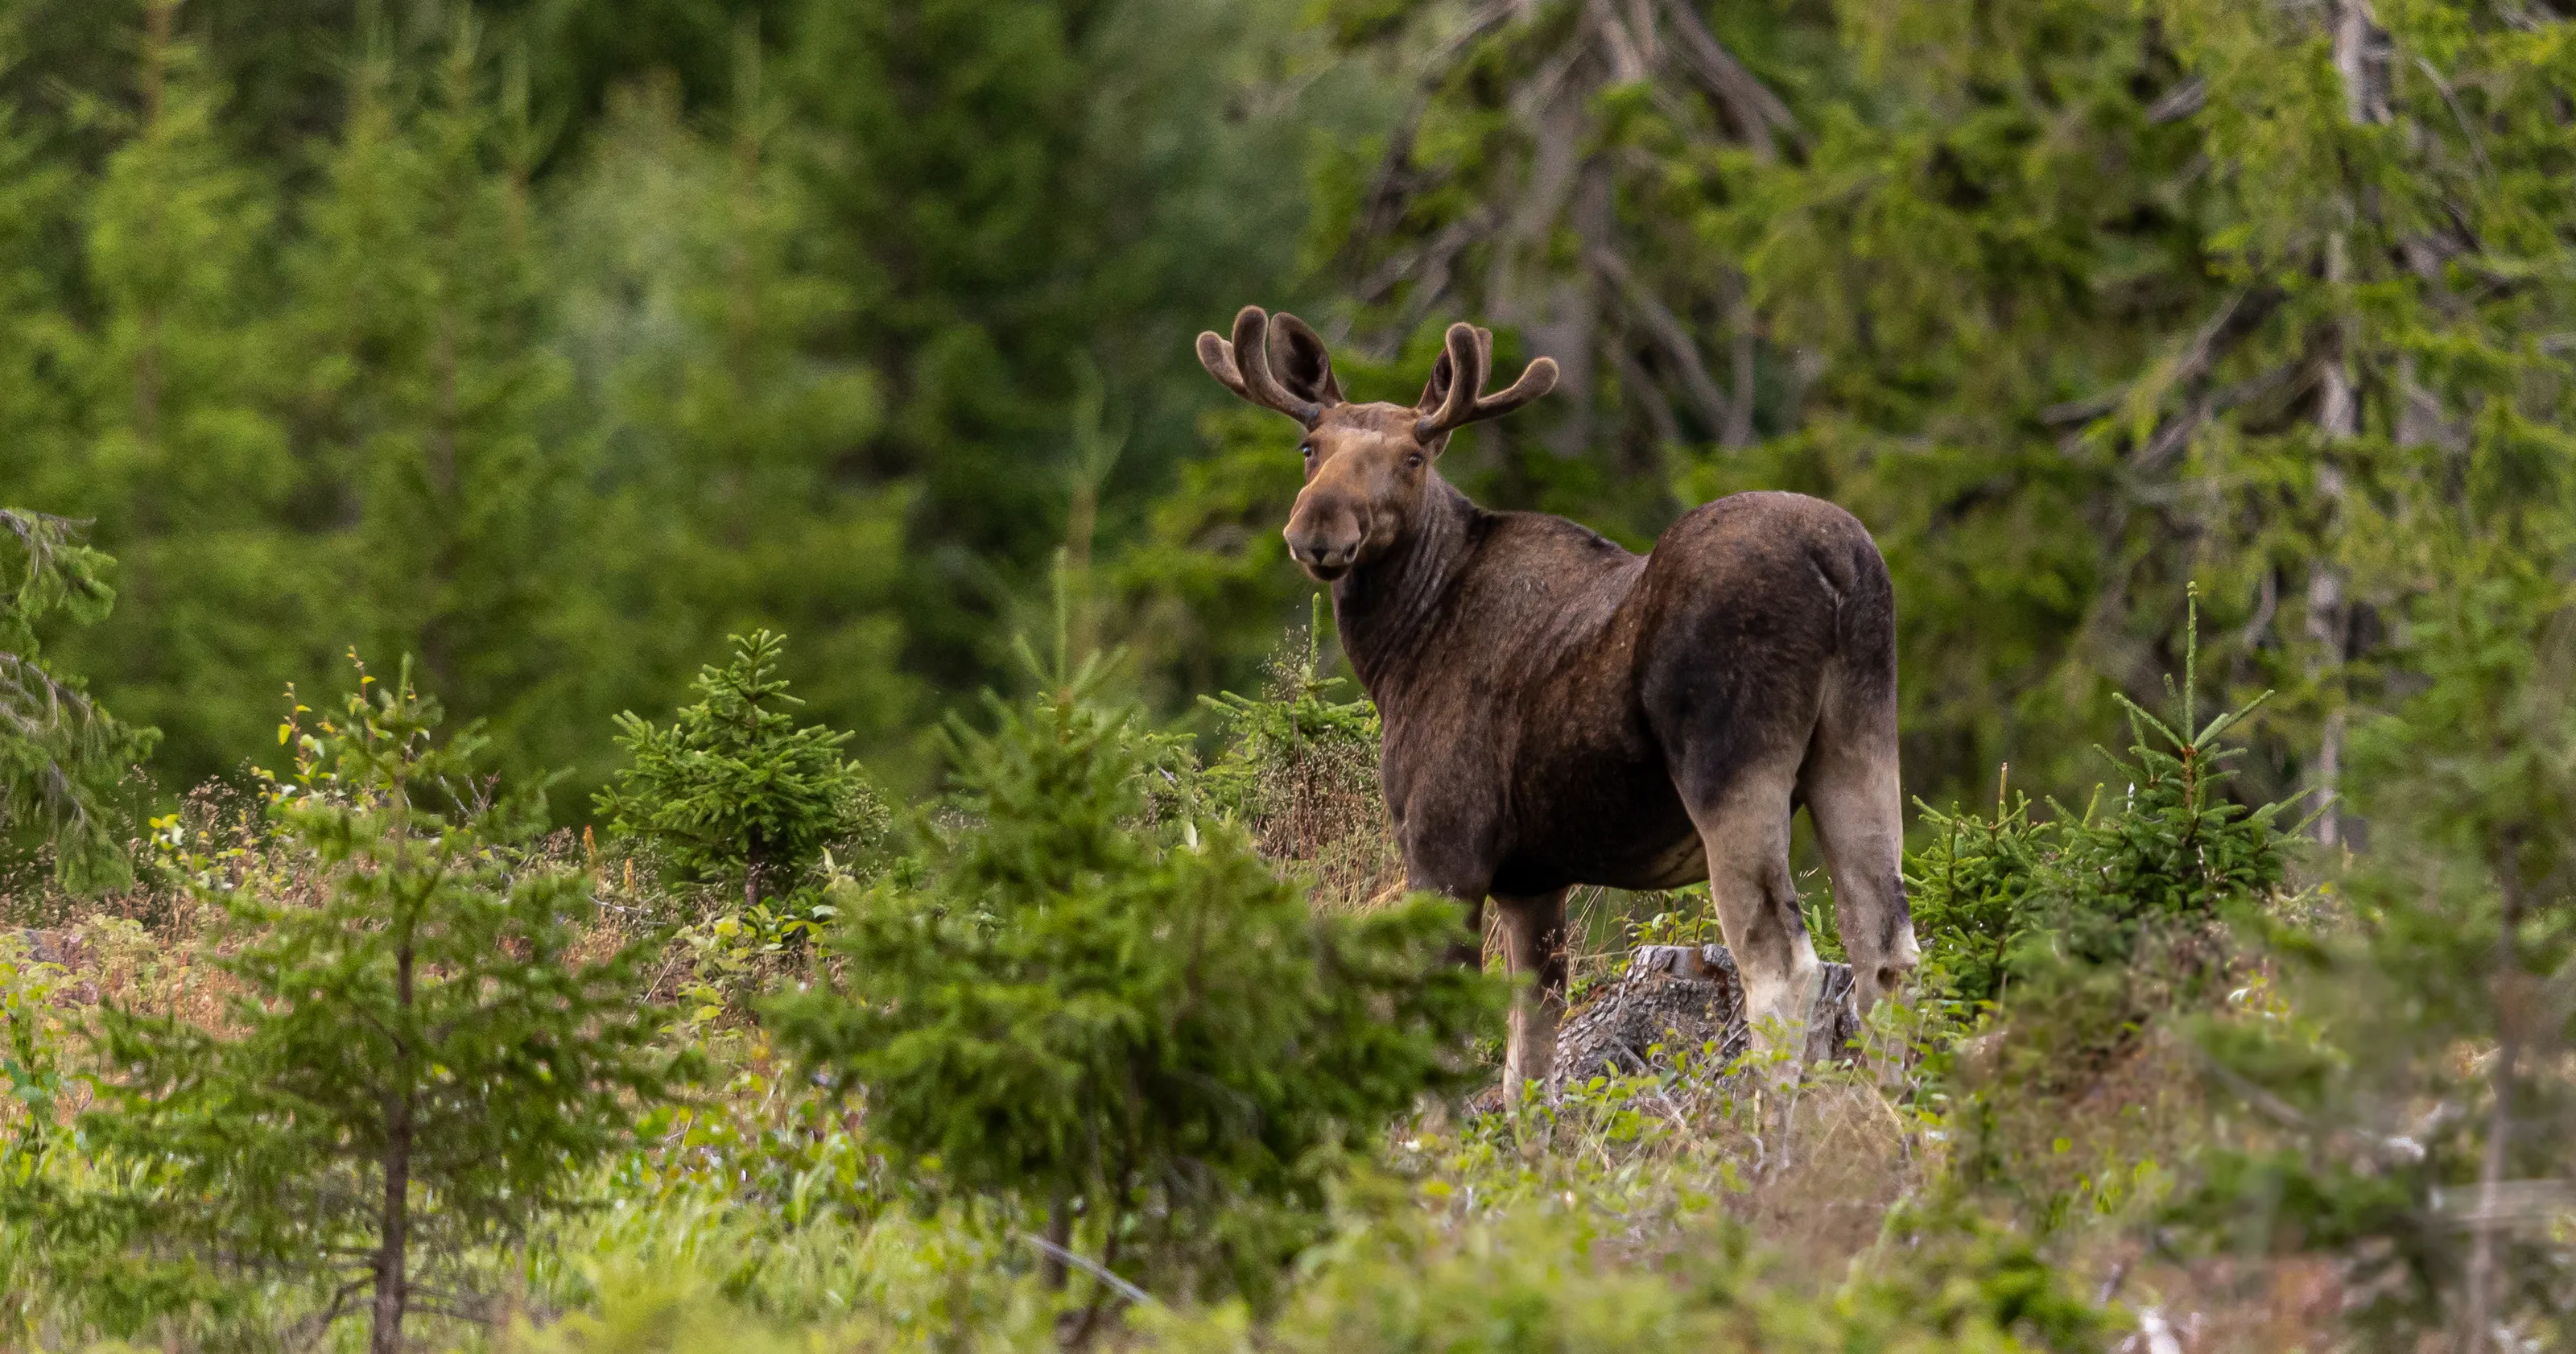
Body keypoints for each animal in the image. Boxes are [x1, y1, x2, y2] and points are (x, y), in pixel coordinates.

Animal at [1196, 306, 1918, 1094]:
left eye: (1414, 458)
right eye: (1309, 447)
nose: (1318, 528)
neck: (1399, 649)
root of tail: (1839, 566)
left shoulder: (1444, 848)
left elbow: (1453, 1054)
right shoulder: (1533, 878)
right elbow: (1529, 1064)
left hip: (1731, 767)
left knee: (1785, 967)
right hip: (1859, 742)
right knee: (1887, 952)